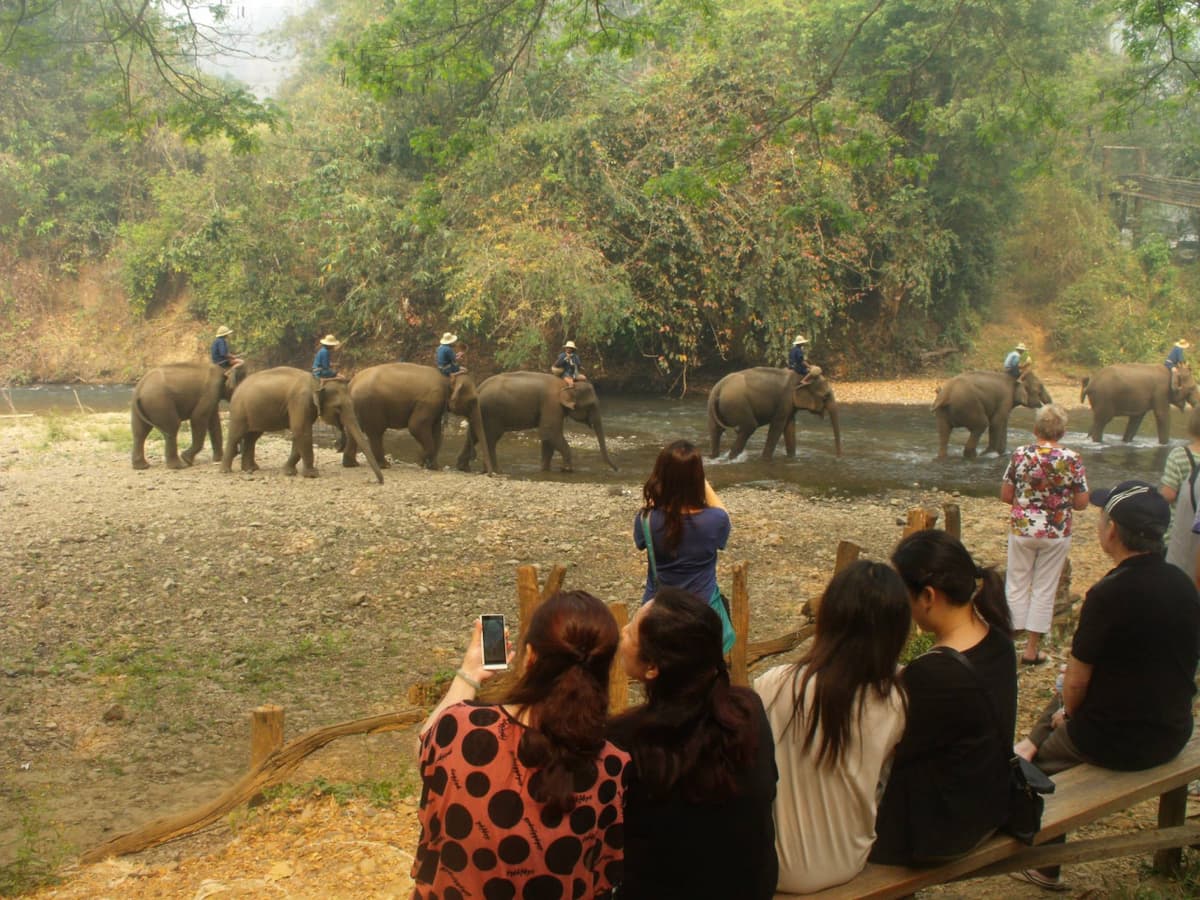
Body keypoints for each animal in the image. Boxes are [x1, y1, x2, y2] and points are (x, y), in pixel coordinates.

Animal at [220, 367, 383, 483]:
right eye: (338, 408)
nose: (378, 481)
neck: (318, 383)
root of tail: (237, 387)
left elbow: (299, 433)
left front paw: (288, 472)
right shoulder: (300, 400)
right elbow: (301, 430)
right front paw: (312, 474)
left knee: (252, 436)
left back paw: (251, 469)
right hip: (239, 409)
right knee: (236, 435)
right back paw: (226, 471)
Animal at [340, 364, 495, 474]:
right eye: (473, 401)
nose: (489, 474)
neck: (447, 378)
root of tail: (351, 383)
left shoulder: (436, 406)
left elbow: (436, 432)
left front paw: (434, 467)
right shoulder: (430, 400)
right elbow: (416, 426)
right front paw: (420, 460)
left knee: (353, 433)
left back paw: (351, 464)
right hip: (371, 406)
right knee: (376, 433)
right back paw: (385, 465)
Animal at [455, 372, 618, 473]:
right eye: (591, 405)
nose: (617, 469)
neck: (566, 385)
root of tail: (479, 388)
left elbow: (548, 439)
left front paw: (545, 470)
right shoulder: (552, 404)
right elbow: (549, 433)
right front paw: (567, 469)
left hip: (481, 412)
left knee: (475, 435)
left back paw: (464, 468)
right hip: (492, 413)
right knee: (491, 439)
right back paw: (497, 471)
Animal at [707, 368, 841, 459]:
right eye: (826, 396)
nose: (837, 458)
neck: (800, 377)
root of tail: (719, 387)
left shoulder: (789, 405)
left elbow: (789, 426)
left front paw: (791, 458)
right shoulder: (784, 400)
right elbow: (777, 426)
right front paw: (765, 459)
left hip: (713, 408)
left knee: (715, 430)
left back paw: (715, 457)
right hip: (738, 404)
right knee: (749, 426)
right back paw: (732, 459)